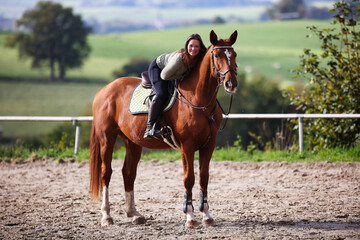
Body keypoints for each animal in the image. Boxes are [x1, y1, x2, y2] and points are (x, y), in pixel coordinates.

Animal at [89, 30, 239, 227]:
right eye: (217, 55)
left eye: (234, 55)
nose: (231, 84)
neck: (199, 99)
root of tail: (104, 90)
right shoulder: (187, 146)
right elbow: (189, 179)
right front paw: (190, 217)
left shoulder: (209, 144)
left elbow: (203, 178)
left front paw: (207, 215)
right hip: (107, 138)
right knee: (106, 173)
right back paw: (106, 216)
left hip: (132, 141)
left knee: (128, 173)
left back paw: (134, 214)